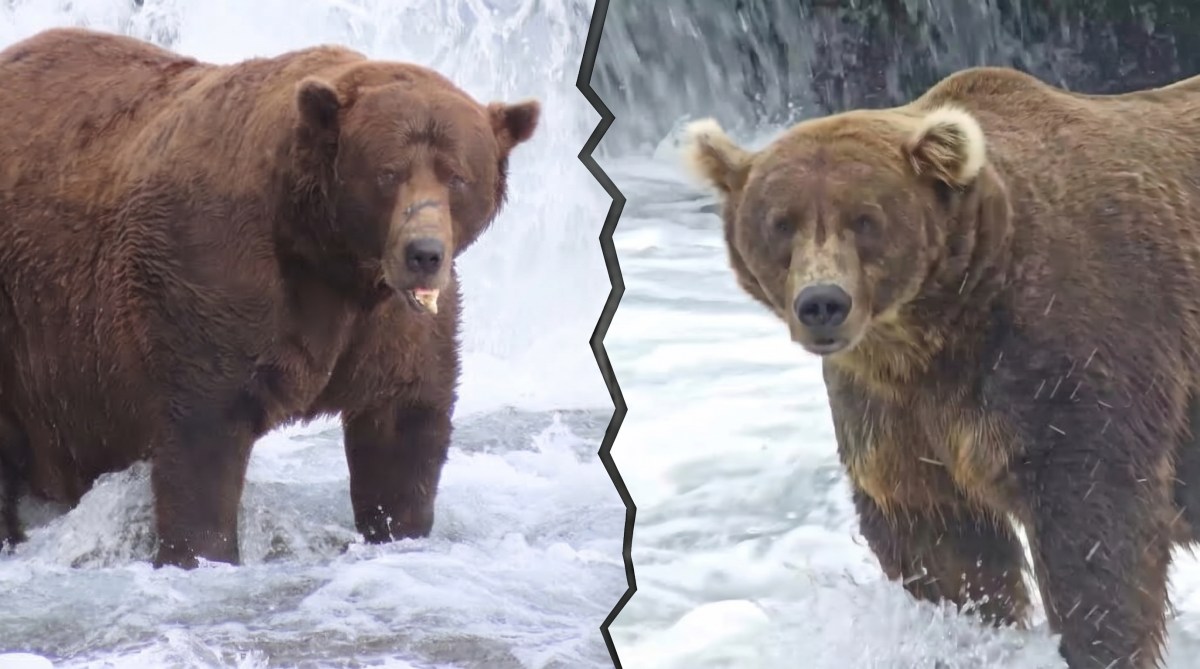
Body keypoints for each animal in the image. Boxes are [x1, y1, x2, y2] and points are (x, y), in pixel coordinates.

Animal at [0, 27, 539, 569]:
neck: (329, 255)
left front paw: (397, 529)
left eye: (457, 176)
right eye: (388, 173)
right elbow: (203, 438)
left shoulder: (392, 325)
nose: (423, 253)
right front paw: (200, 552)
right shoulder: (212, 276)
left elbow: (402, 427)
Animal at [681, 65, 1200, 669]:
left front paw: (1100, 642)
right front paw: (967, 633)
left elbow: (1095, 527)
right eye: (781, 223)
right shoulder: (893, 410)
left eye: (865, 219)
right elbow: (942, 543)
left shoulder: (1075, 351)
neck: (935, 330)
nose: (823, 302)